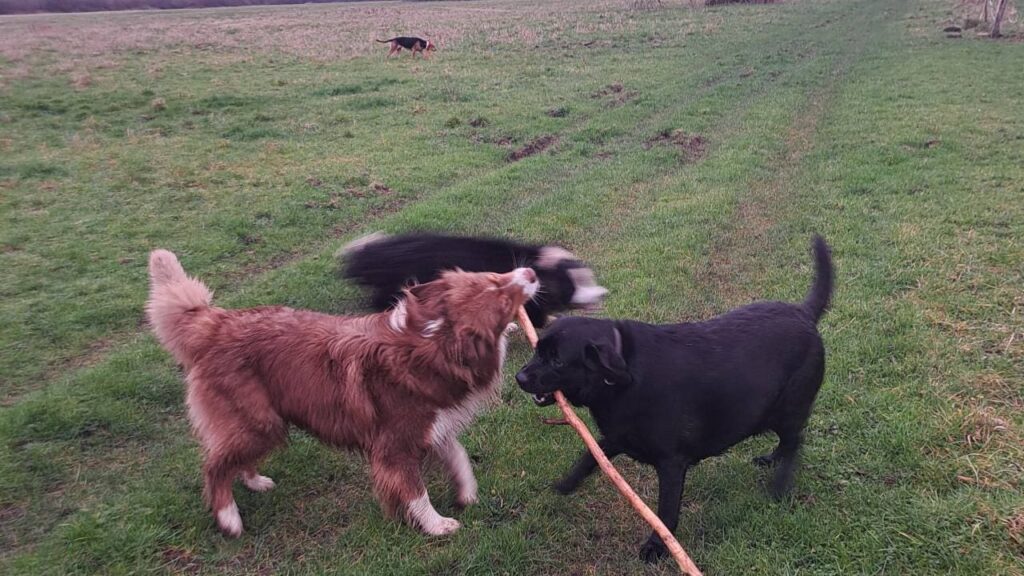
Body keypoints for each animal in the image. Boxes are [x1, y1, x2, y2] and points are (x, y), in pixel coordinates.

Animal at [149, 249, 544, 537]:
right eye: (502, 301)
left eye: (493, 277)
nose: (532, 273)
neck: (430, 346)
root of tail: (216, 323)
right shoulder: (394, 447)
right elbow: (416, 491)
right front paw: (437, 526)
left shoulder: (434, 426)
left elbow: (459, 457)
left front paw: (467, 493)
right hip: (258, 423)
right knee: (214, 466)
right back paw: (229, 519)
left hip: (262, 423)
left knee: (232, 460)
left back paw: (256, 482)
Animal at [516, 233, 835, 561]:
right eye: (538, 350)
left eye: (557, 361)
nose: (520, 378)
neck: (624, 369)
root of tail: (804, 313)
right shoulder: (616, 436)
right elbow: (589, 458)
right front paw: (566, 484)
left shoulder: (671, 463)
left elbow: (666, 512)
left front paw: (657, 547)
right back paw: (772, 461)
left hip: (789, 408)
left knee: (795, 441)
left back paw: (779, 486)